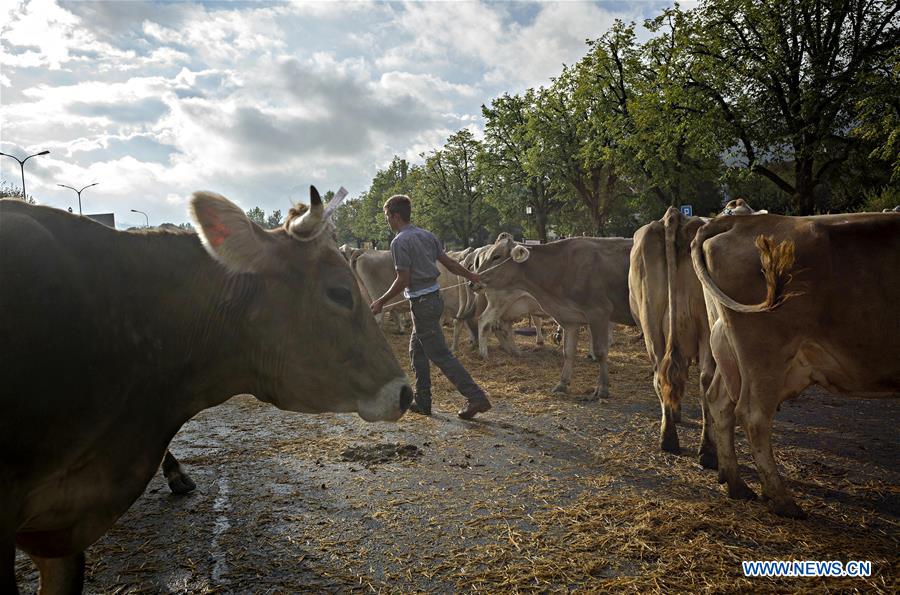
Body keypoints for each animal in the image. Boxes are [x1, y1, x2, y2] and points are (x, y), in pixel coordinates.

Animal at [474, 235, 636, 398]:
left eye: (496, 256)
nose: (472, 281)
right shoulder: (589, 314)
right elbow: (587, 349)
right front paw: (598, 385)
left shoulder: (591, 314)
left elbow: (581, 351)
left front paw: (581, 385)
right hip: (500, 304)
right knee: (486, 322)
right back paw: (486, 354)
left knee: (501, 327)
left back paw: (513, 351)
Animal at [624, 207, 716, 468]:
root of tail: (674, 217)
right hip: (705, 324)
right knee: (702, 381)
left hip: (652, 324)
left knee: (664, 375)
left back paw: (672, 439)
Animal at [692, 213, 896, 516]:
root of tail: (741, 220)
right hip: (765, 354)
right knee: (753, 415)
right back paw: (782, 500)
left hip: (727, 348)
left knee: (719, 401)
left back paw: (737, 485)